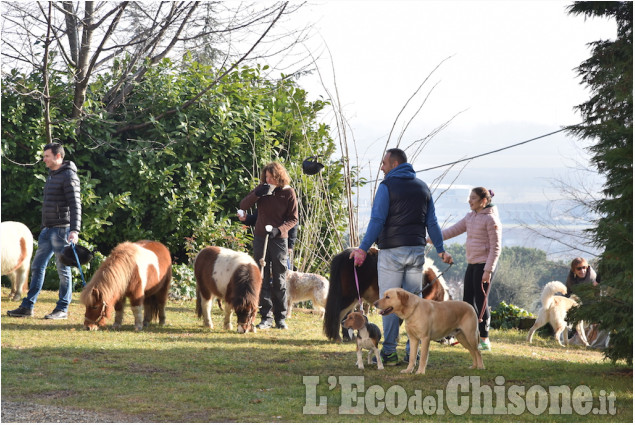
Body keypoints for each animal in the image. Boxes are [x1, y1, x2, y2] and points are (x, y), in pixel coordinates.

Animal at [322, 247, 452, 340]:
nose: (447, 339)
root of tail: (345, 255)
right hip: (349, 296)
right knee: (339, 313)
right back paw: (337, 337)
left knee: (347, 315)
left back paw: (349, 337)